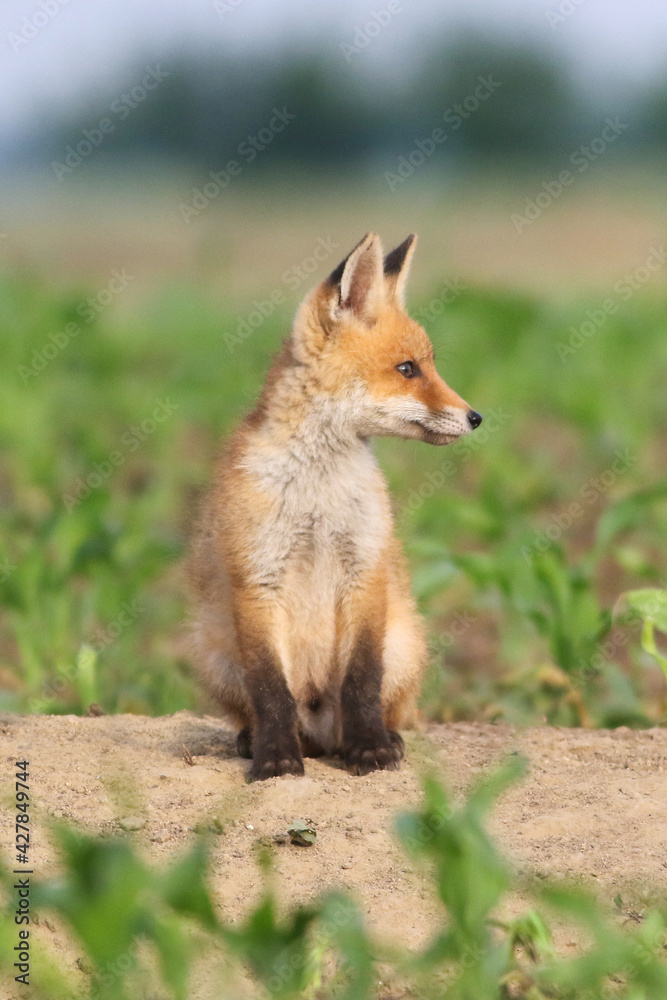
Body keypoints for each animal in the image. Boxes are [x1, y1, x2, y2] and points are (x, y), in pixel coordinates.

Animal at [187, 232, 482, 780]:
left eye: (428, 365)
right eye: (407, 369)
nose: (476, 417)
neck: (317, 493)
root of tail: (321, 733)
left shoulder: (364, 566)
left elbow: (361, 681)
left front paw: (370, 749)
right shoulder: (257, 576)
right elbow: (271, 691)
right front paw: (276, 758)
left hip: (405, 645)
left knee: (388, 708)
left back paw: (381, 738)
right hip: (212, 651)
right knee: (262, 712)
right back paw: (258, 741)